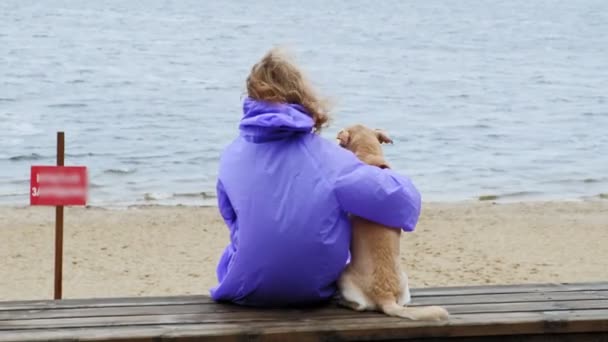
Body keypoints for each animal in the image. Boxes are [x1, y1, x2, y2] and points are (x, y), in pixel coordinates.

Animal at [338, 125, 446, 320]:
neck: (369, 156)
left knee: (359, 306)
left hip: (343, 276)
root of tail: (385, 296)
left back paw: (344, 302)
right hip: (405, 282)